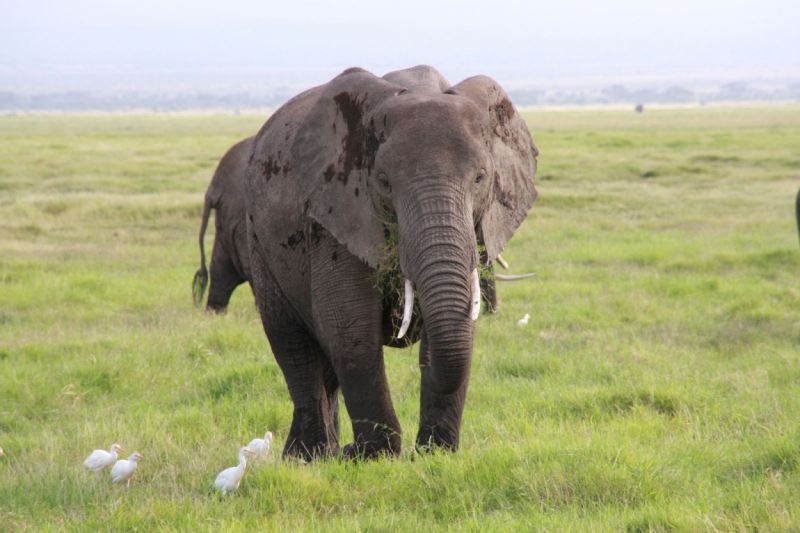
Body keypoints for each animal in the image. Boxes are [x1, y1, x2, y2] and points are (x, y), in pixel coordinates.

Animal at [242, 64, 536, 460]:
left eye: (480, 178)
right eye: (383, 182)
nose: (418, 450)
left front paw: (436, 454)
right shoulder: (333, 213)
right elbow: (350, 326)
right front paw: (375, 456)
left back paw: (318, 455)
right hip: (258, 240)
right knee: (293, 346)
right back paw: (311, 457)